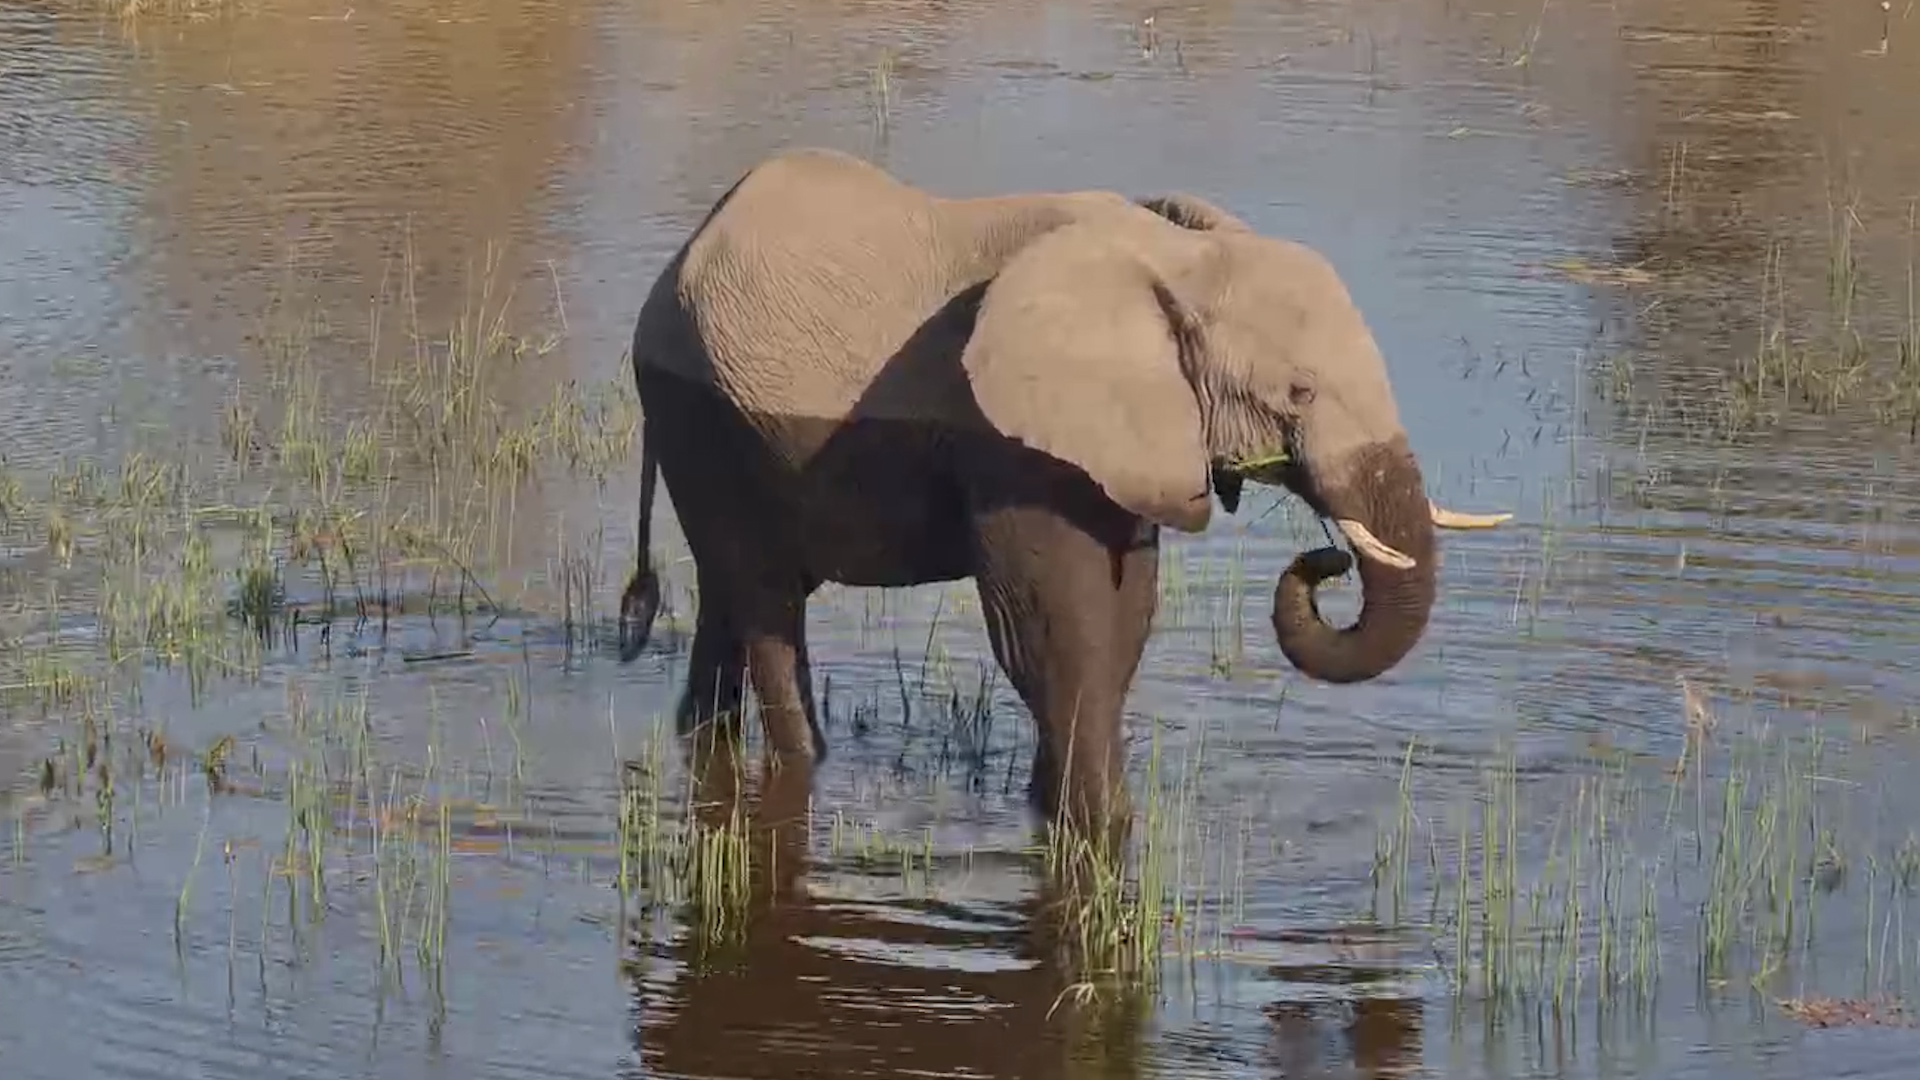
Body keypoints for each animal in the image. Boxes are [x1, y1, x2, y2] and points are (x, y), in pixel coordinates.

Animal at [615, 147, 1510, 830]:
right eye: (1301, 393)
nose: (1325, 562)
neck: (1173, 259)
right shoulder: (1008, 437)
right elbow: (1053, 624)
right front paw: (1100, 827)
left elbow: (1125, 613)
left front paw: (1058, 806)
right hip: (704, 419)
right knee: (766, 597)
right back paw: (805, 759)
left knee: (734, 595)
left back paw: (702, 731)